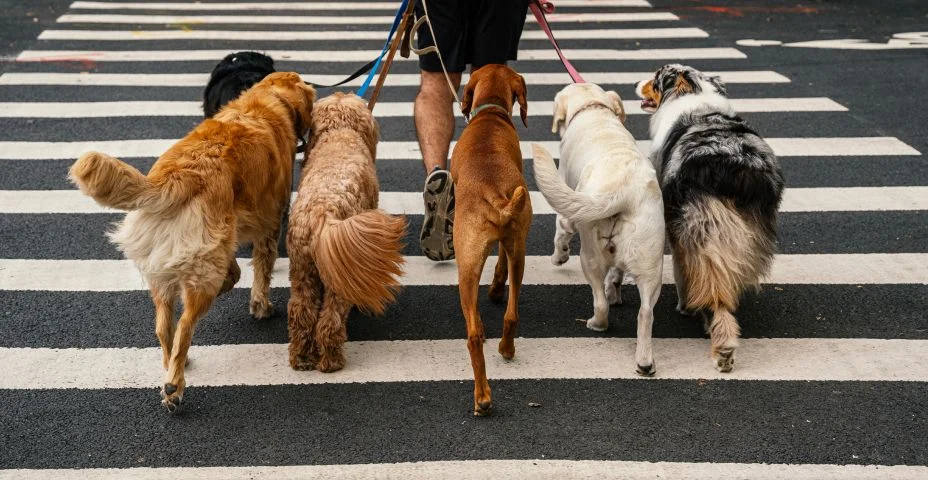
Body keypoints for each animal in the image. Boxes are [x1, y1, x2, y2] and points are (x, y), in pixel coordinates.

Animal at [69, 73, 316, 410]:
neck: (266, 101)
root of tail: (179, 174)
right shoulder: (268, 222)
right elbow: (261, 271)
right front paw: (261, 305)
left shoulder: (223, 237)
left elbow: (236, 270)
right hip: (199, 267)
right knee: (186, 324)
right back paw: (175, 385)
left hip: (163, 267)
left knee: (163, 327)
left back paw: (174, 362)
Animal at [286, 92, 406, 374]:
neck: (339, 133)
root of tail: (321, 213)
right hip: (332, 280)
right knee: (330, 320)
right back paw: (331, 361)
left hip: (302, 268)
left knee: (302, 313)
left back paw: (301, 357)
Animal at [528, 81, 668, 376]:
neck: (593, 110)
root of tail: (622, 192)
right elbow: (616, 275)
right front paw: (615, 288)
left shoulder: (570, 206)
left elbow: (562, 229)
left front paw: (559, 256)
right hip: (651, 264)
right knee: (645, 313)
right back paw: (644, 362)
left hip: (589, 255)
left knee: (600, 302)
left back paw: (596, 324)